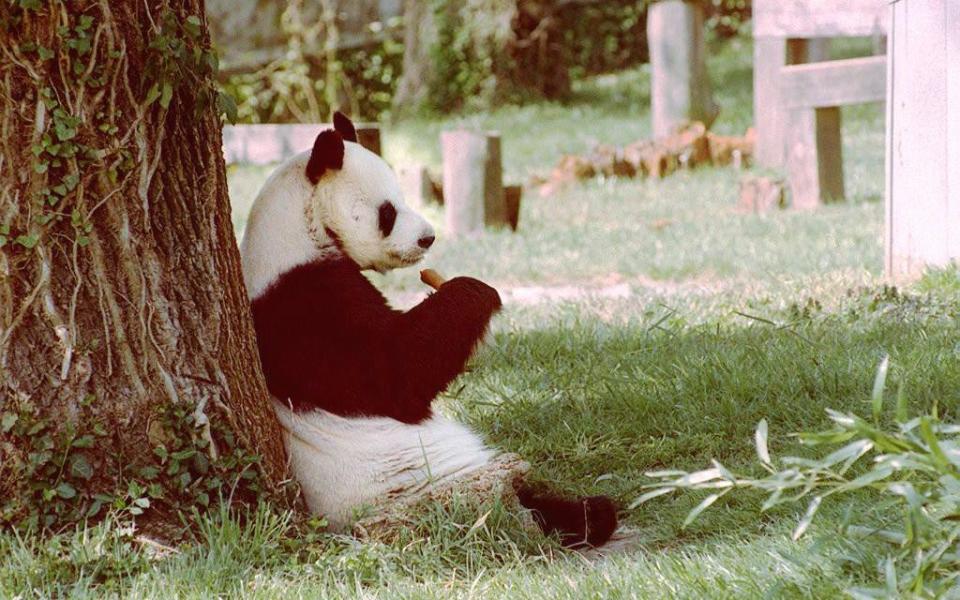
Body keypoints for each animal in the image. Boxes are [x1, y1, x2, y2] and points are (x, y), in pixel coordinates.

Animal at [240, 112, 616, 548]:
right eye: (388, 212)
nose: (428, 238)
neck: (297, 227)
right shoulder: (303, 305)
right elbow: (392, 374)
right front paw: (474, 289)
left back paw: (593, 515)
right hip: (430, 487)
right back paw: (583, 515)